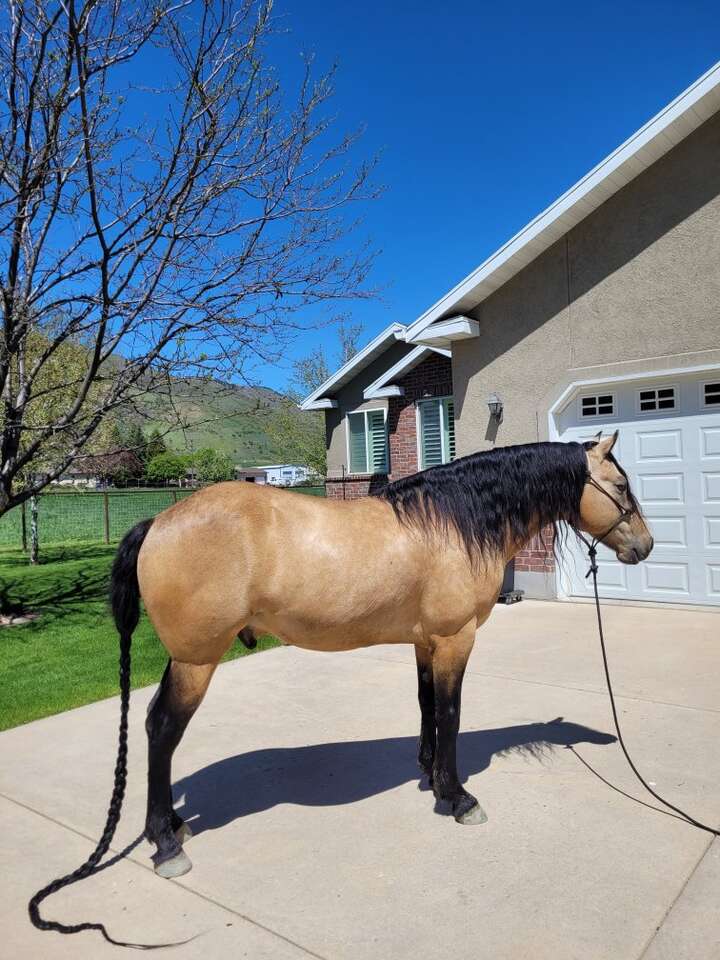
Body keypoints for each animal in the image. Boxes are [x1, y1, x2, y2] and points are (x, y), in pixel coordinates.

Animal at [29, 432, 653, 942]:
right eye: (621, 485)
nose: (644, 547)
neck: (452, 524)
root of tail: (157, 522)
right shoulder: (455, 639)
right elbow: (450, 714)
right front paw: (458, 798)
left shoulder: (425, 642)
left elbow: (426, 708)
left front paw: (431, 777)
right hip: (195, 661)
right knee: (161, 730)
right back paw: (165, 844)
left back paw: (173, 827)